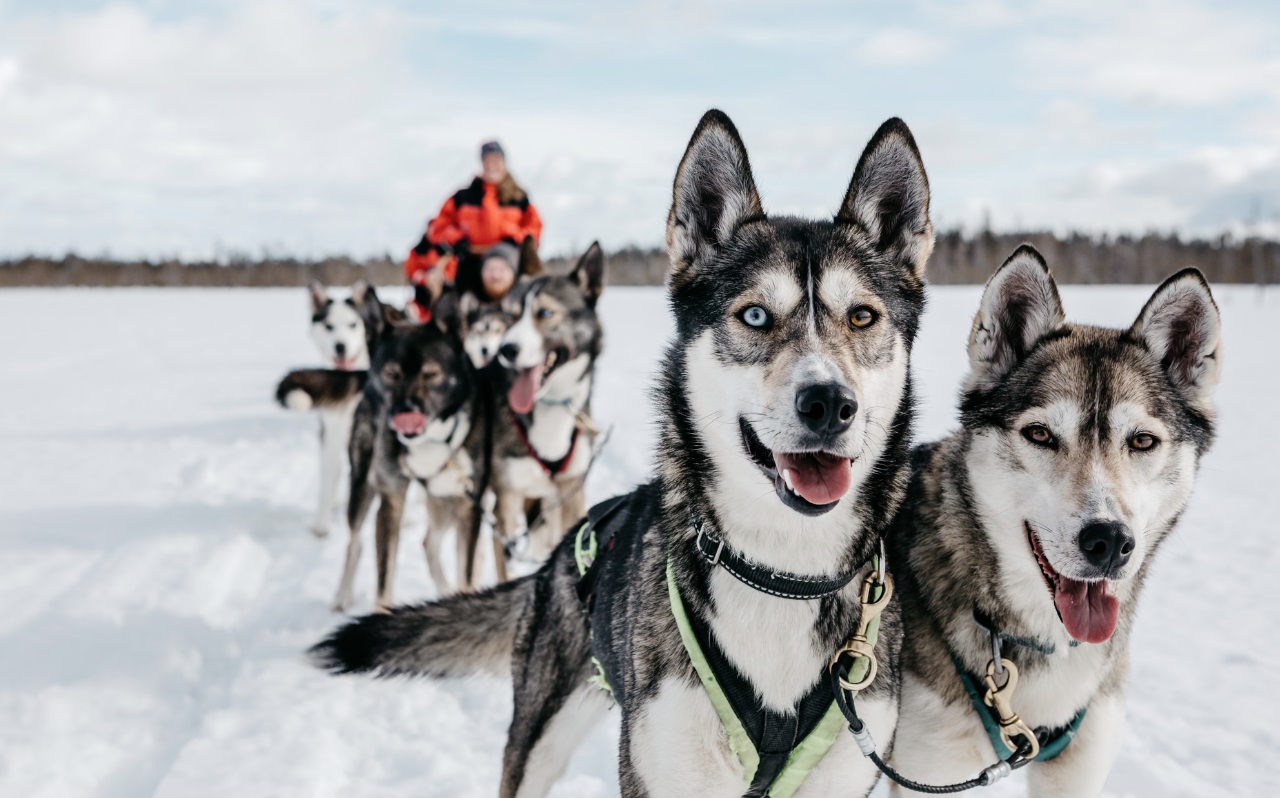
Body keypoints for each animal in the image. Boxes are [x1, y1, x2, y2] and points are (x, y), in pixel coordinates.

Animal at [277, 280, 396, 537]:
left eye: (353, 324)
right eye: (329, 326)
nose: (340, 346)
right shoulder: (332, 435)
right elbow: (329, 480)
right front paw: (322, 525)